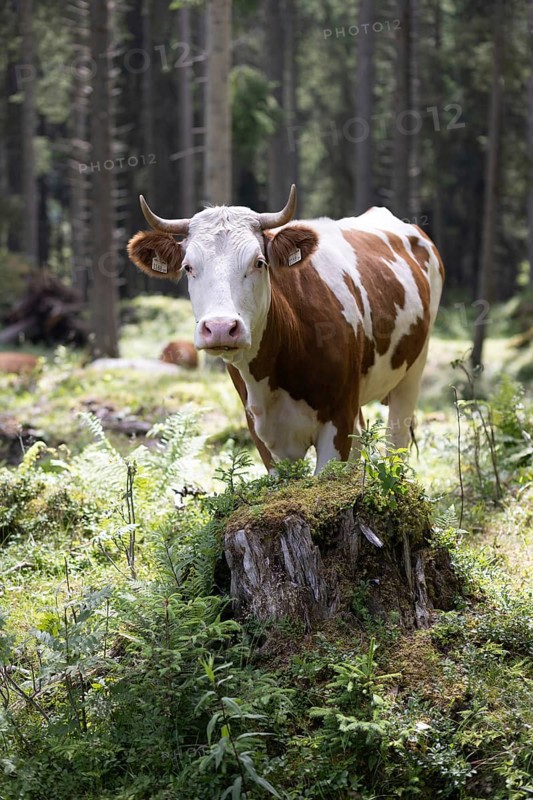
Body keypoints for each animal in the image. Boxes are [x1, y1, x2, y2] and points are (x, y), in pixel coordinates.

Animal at [127, 186, 444, 473]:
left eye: (258, 262)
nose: (220, 328)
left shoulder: (338, 420)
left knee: (397, 441)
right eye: (189, 267)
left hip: (413, 370)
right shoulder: (263, 433)